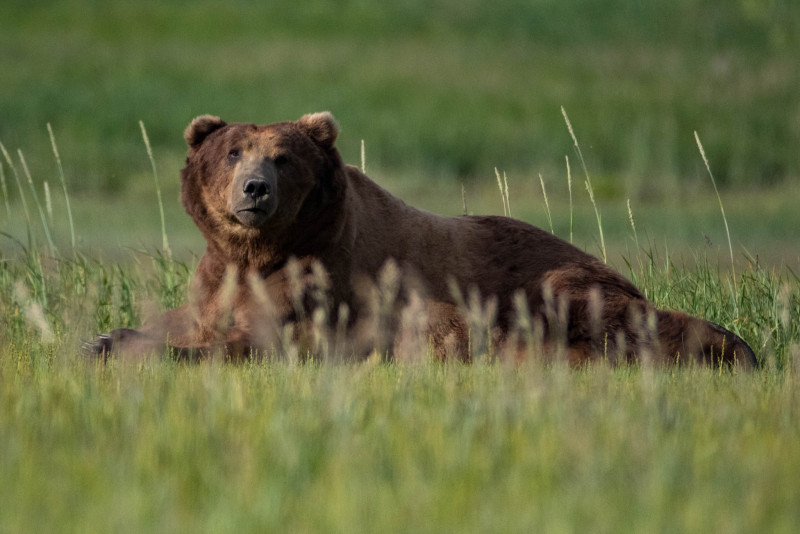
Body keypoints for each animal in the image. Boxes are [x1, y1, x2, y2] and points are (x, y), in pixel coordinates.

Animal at [84, 109, 760, 368]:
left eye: (282, 156)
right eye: (232, 152)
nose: (254, 188)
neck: (260, 253)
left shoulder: (325, 283)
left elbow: (256, 341)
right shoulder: (218, 276)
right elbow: (189, 318)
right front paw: (103, 337)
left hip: (567, 283)